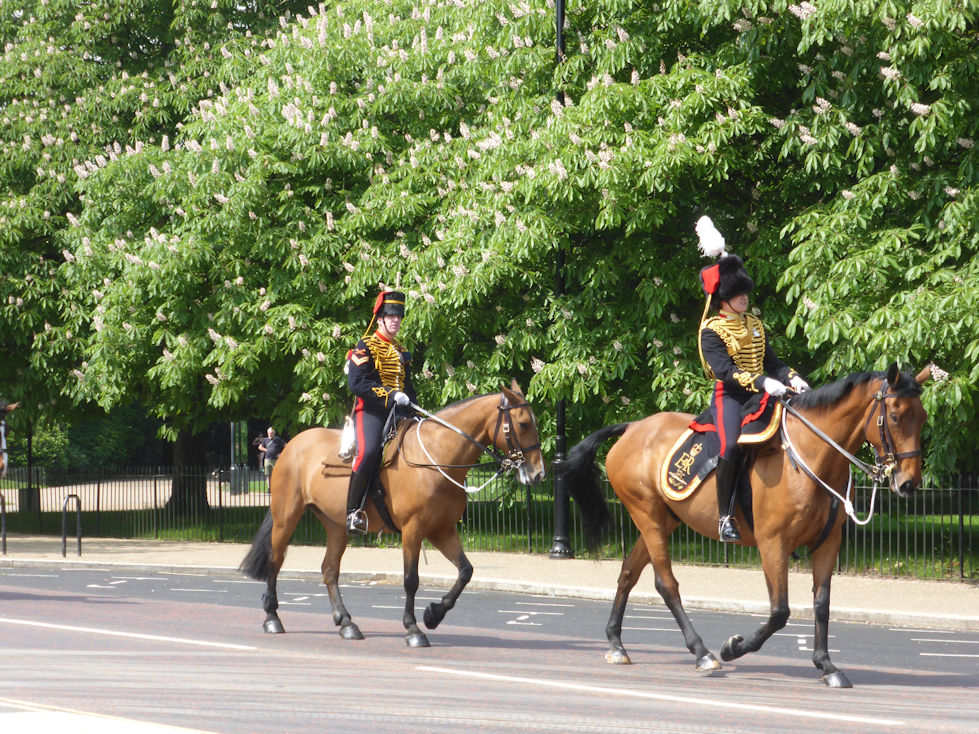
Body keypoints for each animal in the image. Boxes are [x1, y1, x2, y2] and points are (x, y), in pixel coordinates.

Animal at [237, 382, 544, 648]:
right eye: (524, 423)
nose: (538, 474)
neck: (436, 457)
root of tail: (292, 445)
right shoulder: (413, 530)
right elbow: (411, 580)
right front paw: (413, 628)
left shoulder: (442, 530)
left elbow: (465, 571)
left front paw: (433, 614)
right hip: (286, 516)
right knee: (276, 561)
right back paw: (272, 617)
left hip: (336, 526)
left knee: (329, 569)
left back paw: (346, 623)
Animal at [564, 366, 932, 688]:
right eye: (895, 415)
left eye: (923, 416)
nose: (909, 483)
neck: (812, 455)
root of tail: (633, 428)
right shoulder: (773, 543)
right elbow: (779, 611)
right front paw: (734, 647)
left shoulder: (828, 542)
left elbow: (821, 604)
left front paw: (827, 665)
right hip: (648, 516)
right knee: (666, 584)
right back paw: (702, 652)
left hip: (661, 521)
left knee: (628, 572)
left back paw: (616, 643)